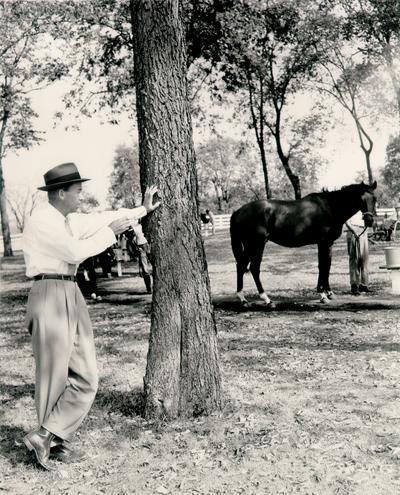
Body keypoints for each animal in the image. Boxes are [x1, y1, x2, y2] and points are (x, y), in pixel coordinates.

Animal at [230, 182, 376, 306]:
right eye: (361, 199)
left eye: (374, 199)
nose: (369, 221)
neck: (330, 207)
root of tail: (238, 211)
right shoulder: (322, 242)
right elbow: (322, 266)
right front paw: (322, 295)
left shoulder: (329, 243)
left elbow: (327, 266)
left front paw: (329, 292)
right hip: (256, 244)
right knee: (254, 268)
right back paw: (266, 299)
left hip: (250, 245)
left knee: (241, 265)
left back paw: (243, 299)